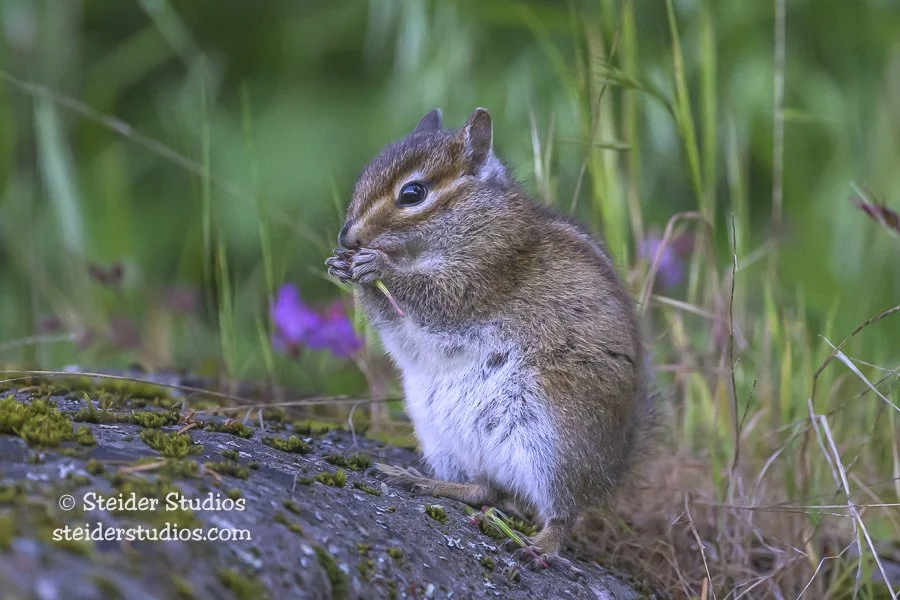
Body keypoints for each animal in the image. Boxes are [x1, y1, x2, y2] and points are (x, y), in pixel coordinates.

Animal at [325, 108, 656, 578]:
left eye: (412, 193)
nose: (346, 238)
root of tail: (612, 470)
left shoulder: (486, 271)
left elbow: (434, 298)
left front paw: (377, 267)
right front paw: (341, 266)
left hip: (556, 441)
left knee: (562, 513)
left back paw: (541, 546)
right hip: (442, 439)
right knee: (487, 492)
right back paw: (420, 481)